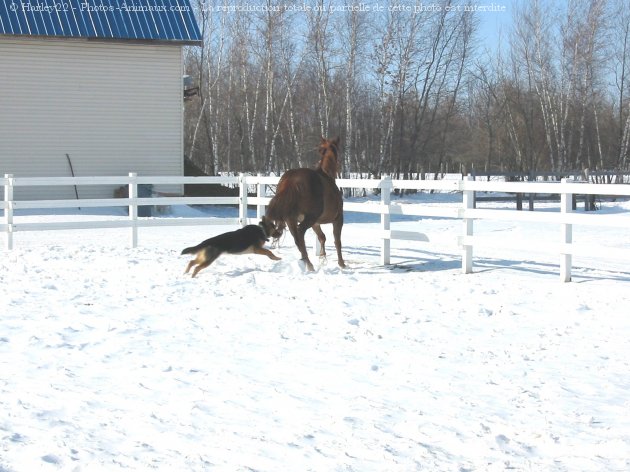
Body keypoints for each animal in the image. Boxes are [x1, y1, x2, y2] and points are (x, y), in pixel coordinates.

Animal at [266, 136, 348, 272]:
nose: (340, 166)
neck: (327, 175)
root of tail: (290, 180)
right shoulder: (338, 218)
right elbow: (337, 241)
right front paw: (341, 263)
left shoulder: (316, 223)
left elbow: (322, 237)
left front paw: (322, 258)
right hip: (308, 219)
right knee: (300, 234)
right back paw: (309, 265)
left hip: (291, 219)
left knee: (297, 239)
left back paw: (305, 261)